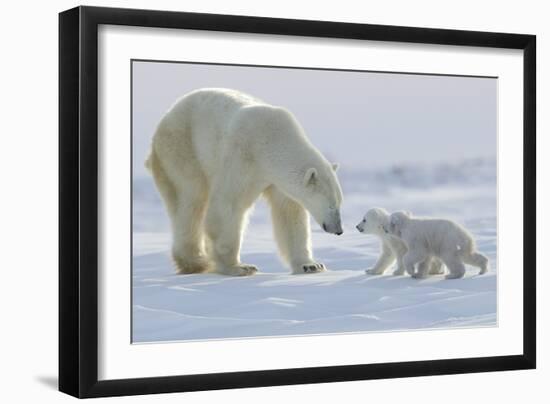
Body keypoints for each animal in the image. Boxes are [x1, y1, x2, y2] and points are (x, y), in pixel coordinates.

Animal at [147, 89, 344, 276]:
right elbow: (228, 204)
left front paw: (311, 265)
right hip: (181, 148)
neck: (272, 139)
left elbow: (289, 213)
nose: (339, 230)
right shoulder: (243, 154)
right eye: (331, 205)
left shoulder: (277, 179)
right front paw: (239, 267)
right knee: (191, 199)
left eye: (339, 203)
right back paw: (196, 262)